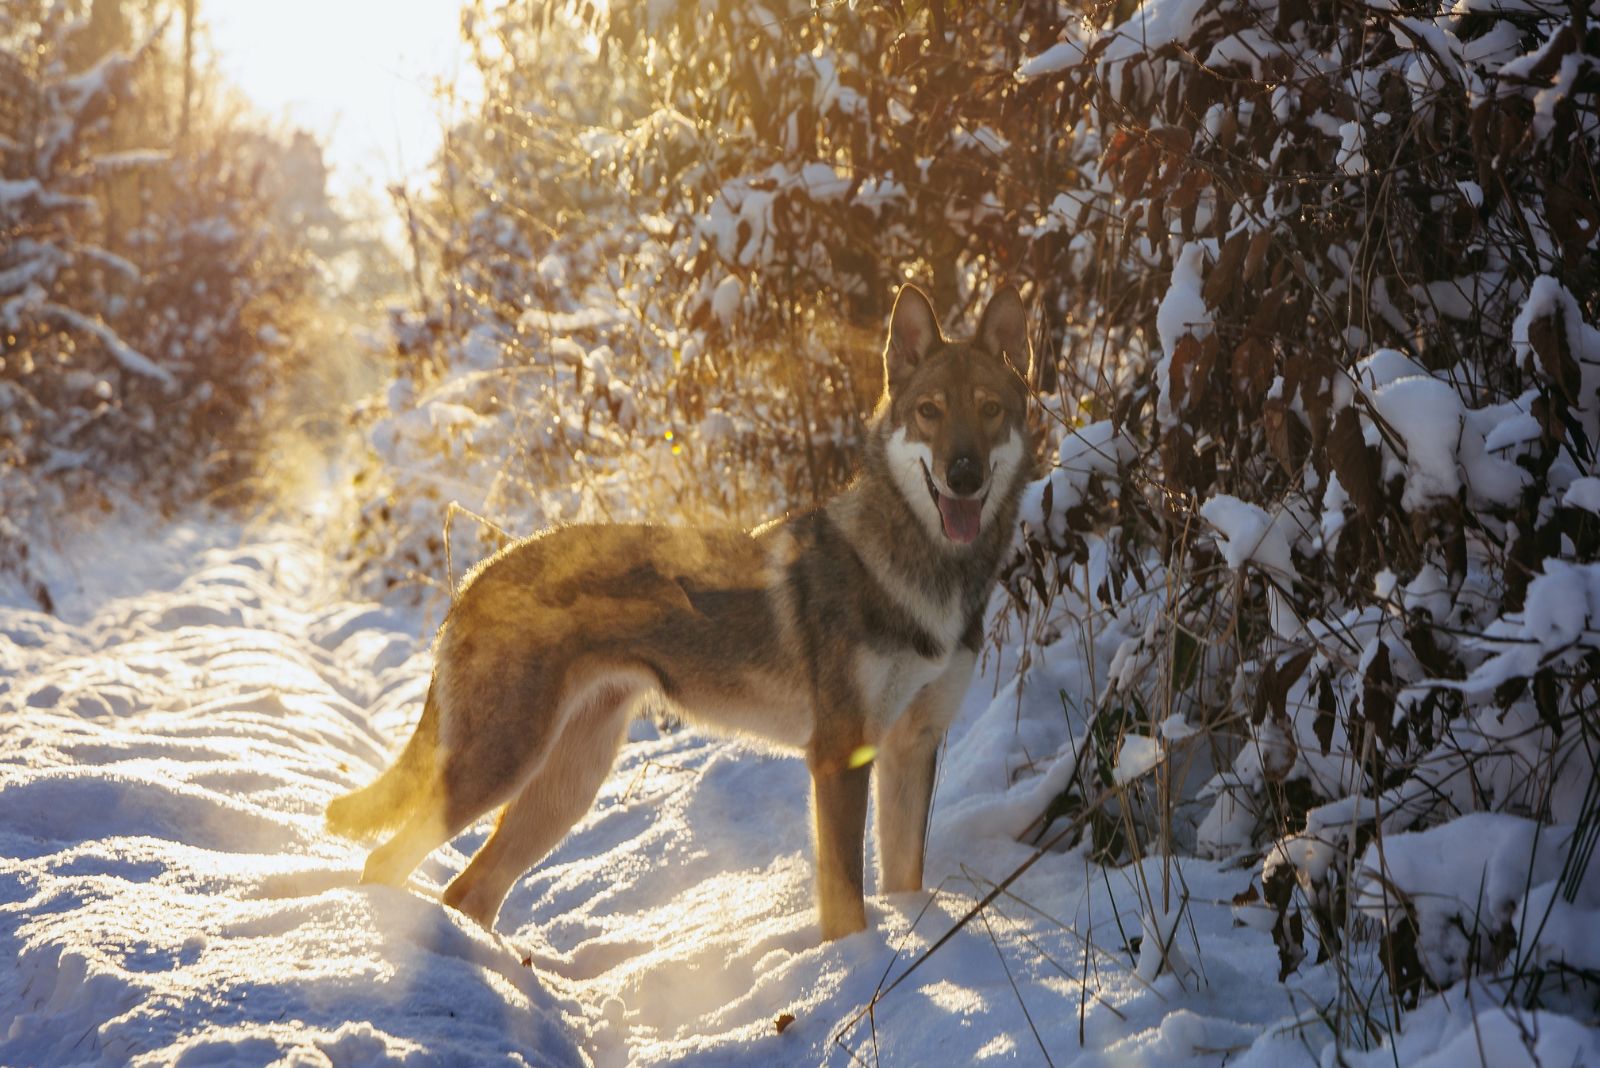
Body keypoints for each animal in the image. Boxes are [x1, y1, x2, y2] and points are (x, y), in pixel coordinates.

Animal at [328, 286, 1036, 940]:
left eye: (990, 410)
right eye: (929, 412)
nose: (964, 474)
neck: (931, 574)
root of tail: (479, 574)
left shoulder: (912, 749)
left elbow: (904, 880)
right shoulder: (839, 757)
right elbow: (847, 911)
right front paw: (851, 969)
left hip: (564, 789)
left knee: (467, 891)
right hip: (499, 768)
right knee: (387, 864)